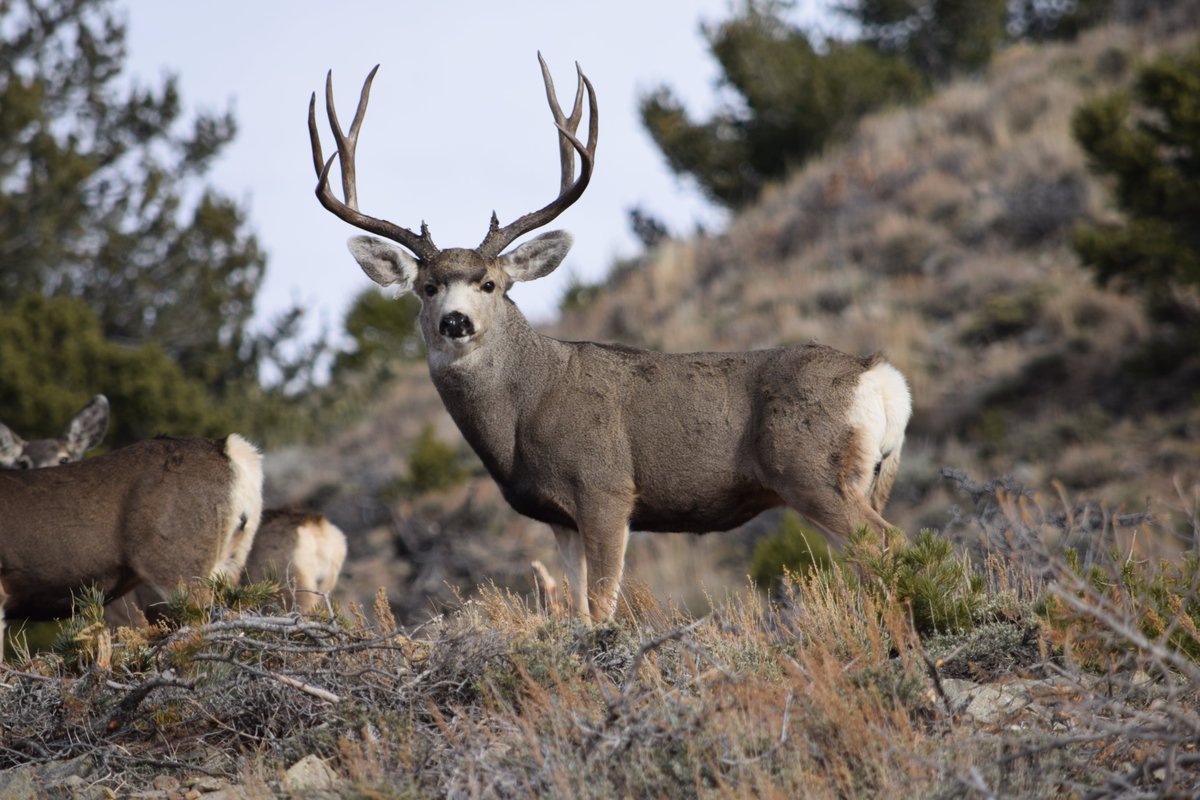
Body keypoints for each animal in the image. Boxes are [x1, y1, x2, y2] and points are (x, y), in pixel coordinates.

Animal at [308, 54, 912, 620]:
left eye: (490, 284)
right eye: (428, 287)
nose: (456, 321)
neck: (526, 407)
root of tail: (877, 375)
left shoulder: (605, 488)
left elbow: (602, 606)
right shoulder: (559, 516)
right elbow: (576, 608)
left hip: (812, 469)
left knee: (887, 544)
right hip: (868, 477)